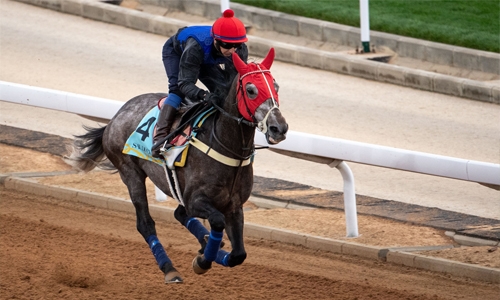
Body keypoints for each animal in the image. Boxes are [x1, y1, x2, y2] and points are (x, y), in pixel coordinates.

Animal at [65, 48, 290, 282]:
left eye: (275, 86)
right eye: (251, 89)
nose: (279, 128)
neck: (227, 148)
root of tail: (116, 116)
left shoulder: (234, 206)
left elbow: (239, 254)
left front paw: (211, 252)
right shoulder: (195, 200)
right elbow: (217, 221)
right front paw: (203, 260)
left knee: (179, 214)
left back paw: (206, 243)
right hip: (130, 172)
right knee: (145, 223)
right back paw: (169, 268)